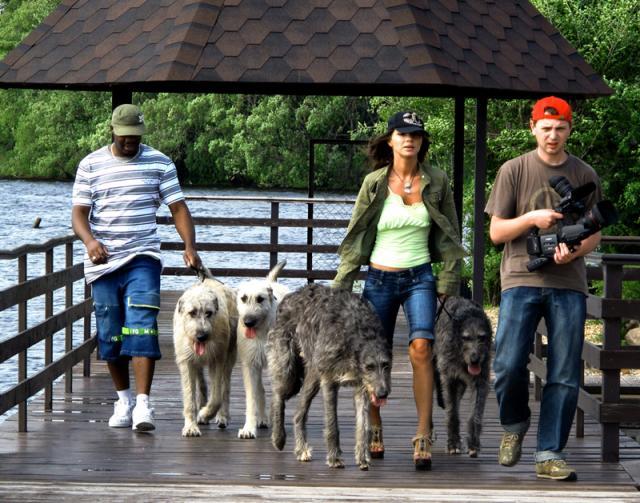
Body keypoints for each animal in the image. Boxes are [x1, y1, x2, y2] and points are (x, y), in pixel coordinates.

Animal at [173, 267, 238, 437]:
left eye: (209, 313)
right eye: (192, 313)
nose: (202, 336)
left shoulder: (218, 358)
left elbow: (216, 397)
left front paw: (205, 413)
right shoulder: (186, 361)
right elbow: (189, 394)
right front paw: (191, 426)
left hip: (229, 355)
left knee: (225, 386)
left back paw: (222, 416)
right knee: (201, 382)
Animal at [236, 260, 290, 439]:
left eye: (260, 299)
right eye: (243, 298)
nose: (248, 322)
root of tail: (271, 282)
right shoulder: (250, 364)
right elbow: (252, 397)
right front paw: (249, 428)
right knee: (260, 389)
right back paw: (262, 419)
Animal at [267, 284, 392, 470]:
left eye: (386, 365)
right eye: (369, 367)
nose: (383, 394)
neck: (359, 333)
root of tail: (291, 295)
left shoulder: (362, 386)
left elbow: (363, 425)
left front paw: (362, 458)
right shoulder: (329, 379)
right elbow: (333, 423)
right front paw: (334, 458)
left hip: (312, 374)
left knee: (298, 412)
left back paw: (301, 449)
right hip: (290, 367)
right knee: (277, 394)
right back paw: (278, 438)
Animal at [434, 296, 492, 457]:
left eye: (482, 337)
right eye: (466, 338)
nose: (475, 359)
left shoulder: (481, 380)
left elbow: (475, 412)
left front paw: (473, 443)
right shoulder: (450, 378)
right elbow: (452, 412)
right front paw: (453, 443)